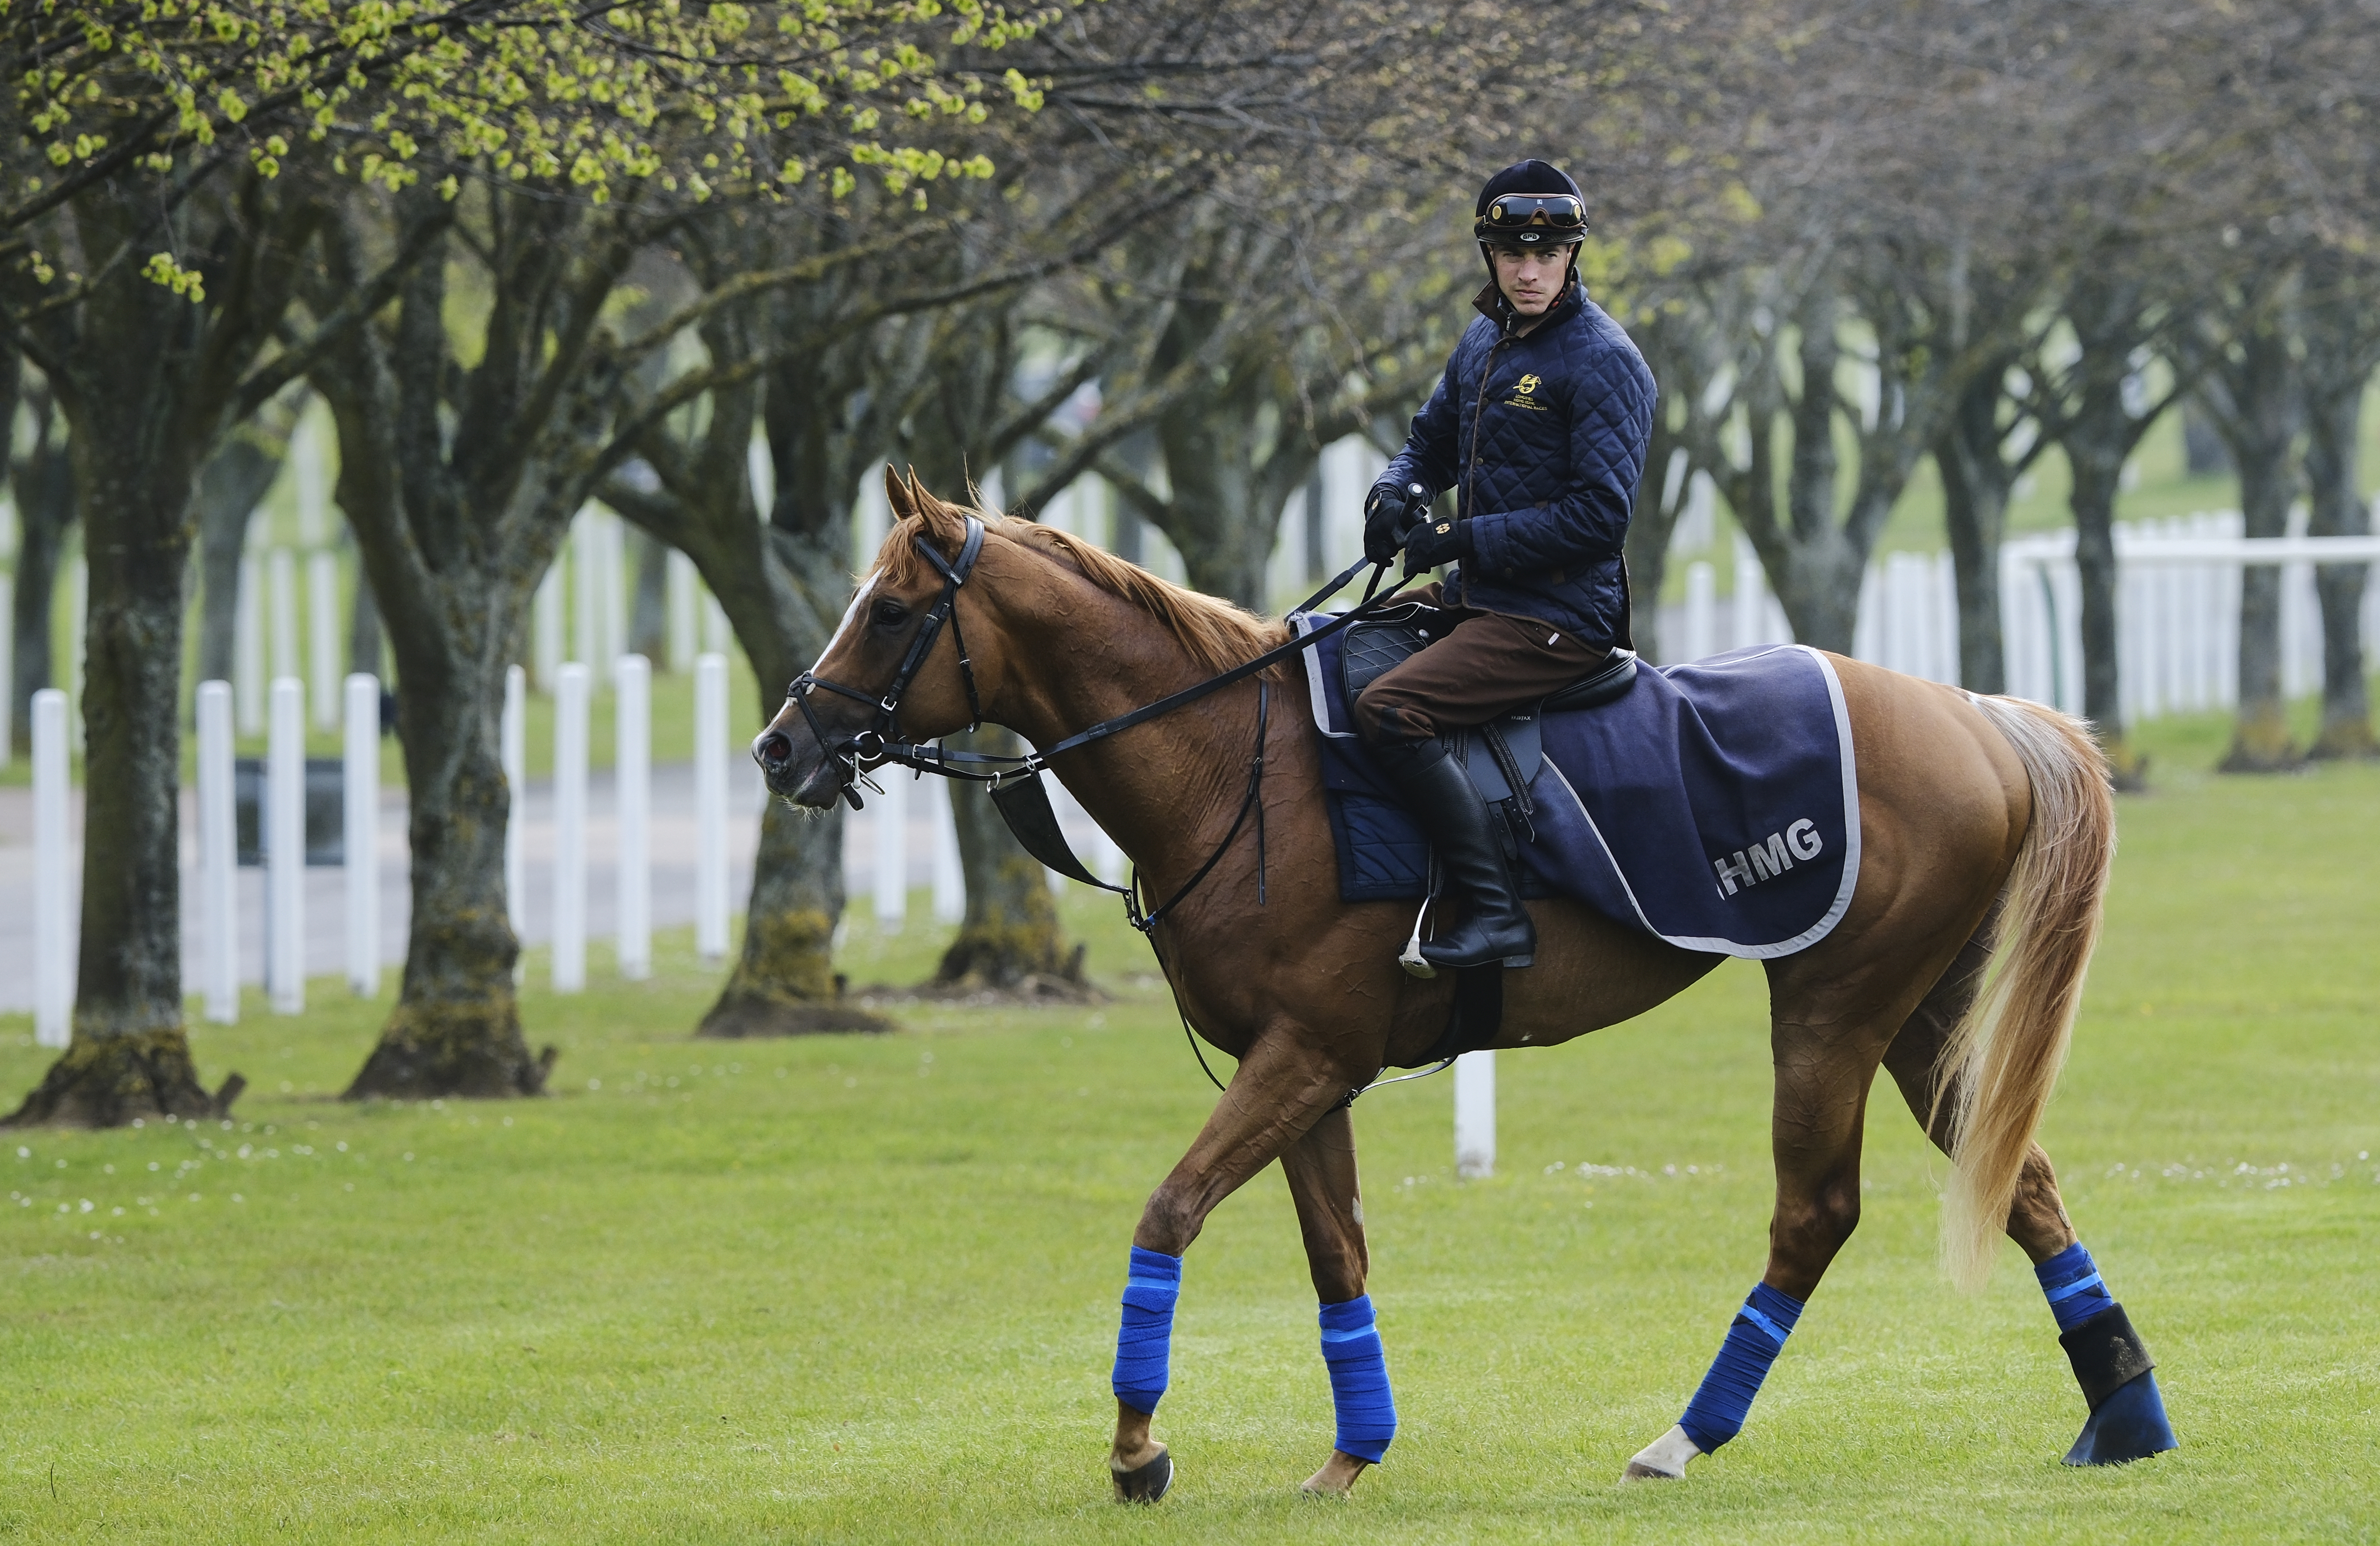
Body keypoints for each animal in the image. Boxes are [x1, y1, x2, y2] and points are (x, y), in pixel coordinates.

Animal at [752, 467, 2170, 1496]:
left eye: (887, 609)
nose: (780, 746)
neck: (1232, 760)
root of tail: (1976, 711)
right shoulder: (1305, 1071)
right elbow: (1335, 1252)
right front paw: (1349, 1451)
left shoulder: (1306, 1055)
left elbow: (1168, 1211)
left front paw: (1138, 1447)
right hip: (1919, 1016)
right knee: (2021, 1180)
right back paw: (2124, 1412)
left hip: (1830, 1007)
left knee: (1813, 1213)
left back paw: (1684, 1434)